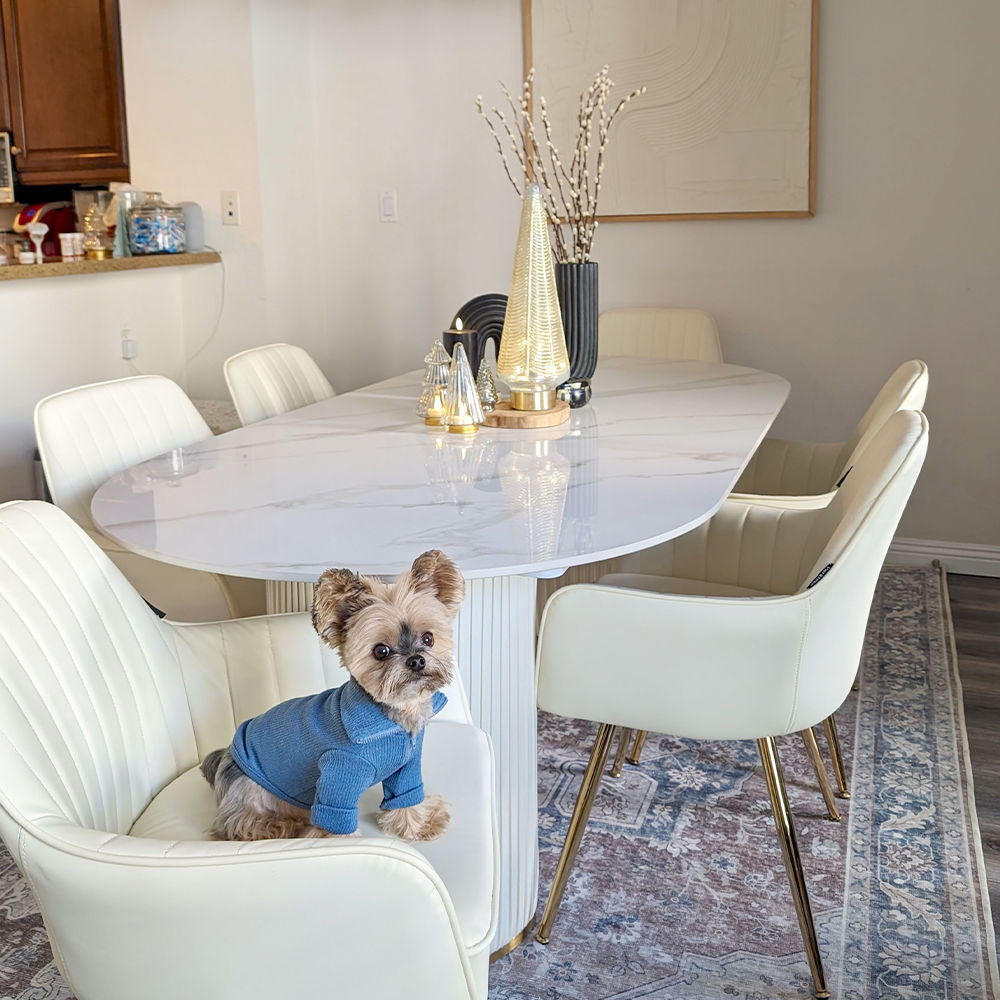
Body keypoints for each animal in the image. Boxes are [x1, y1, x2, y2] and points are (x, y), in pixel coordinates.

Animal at [200, 552, 464, 840]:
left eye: (428, 638)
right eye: (381, 651)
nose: (416, 660)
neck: (392, 716)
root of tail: (226, 756)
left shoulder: (407, 766)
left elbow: (406, 795)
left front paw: (420, 823)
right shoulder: (338, 772)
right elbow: (335, 820)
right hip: (252, 789)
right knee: (235, 822)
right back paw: (275, 824)